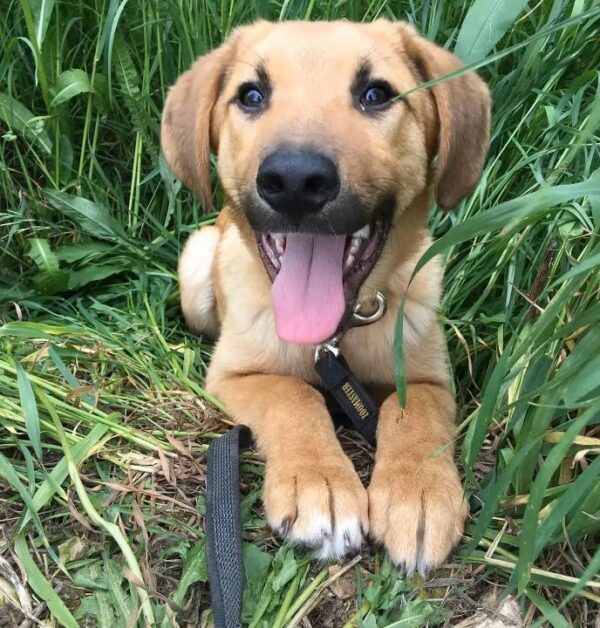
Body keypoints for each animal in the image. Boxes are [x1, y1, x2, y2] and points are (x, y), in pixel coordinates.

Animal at [162, 18, 490, 576]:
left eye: (376, 94)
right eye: (251, 95)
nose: (294, 180)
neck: (335, 338)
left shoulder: (431, 379)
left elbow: (413, 411)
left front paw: (419, 493)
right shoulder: (234, 377)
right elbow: (294, 395)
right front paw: (320, 484)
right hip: (197, 264)